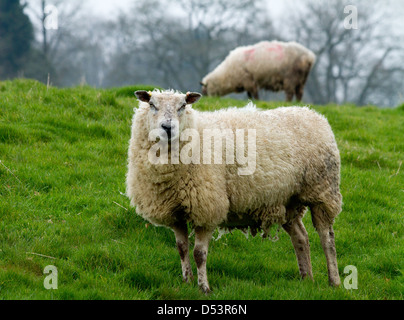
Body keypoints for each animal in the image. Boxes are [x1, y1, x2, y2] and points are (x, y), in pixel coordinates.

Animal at [125, 89, 340, 292]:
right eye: (152, 105)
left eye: (183, 105)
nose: (168, 128)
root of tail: (312, 114)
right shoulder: (175, 211)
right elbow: (182, 249)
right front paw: (187, 281)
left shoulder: (208, 208)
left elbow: (199, 254)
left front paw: (204, 288)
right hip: (287, 200)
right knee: (301, 237)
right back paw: (307, 279)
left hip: (322, 191)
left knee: (327, 238)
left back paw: (334, 281)